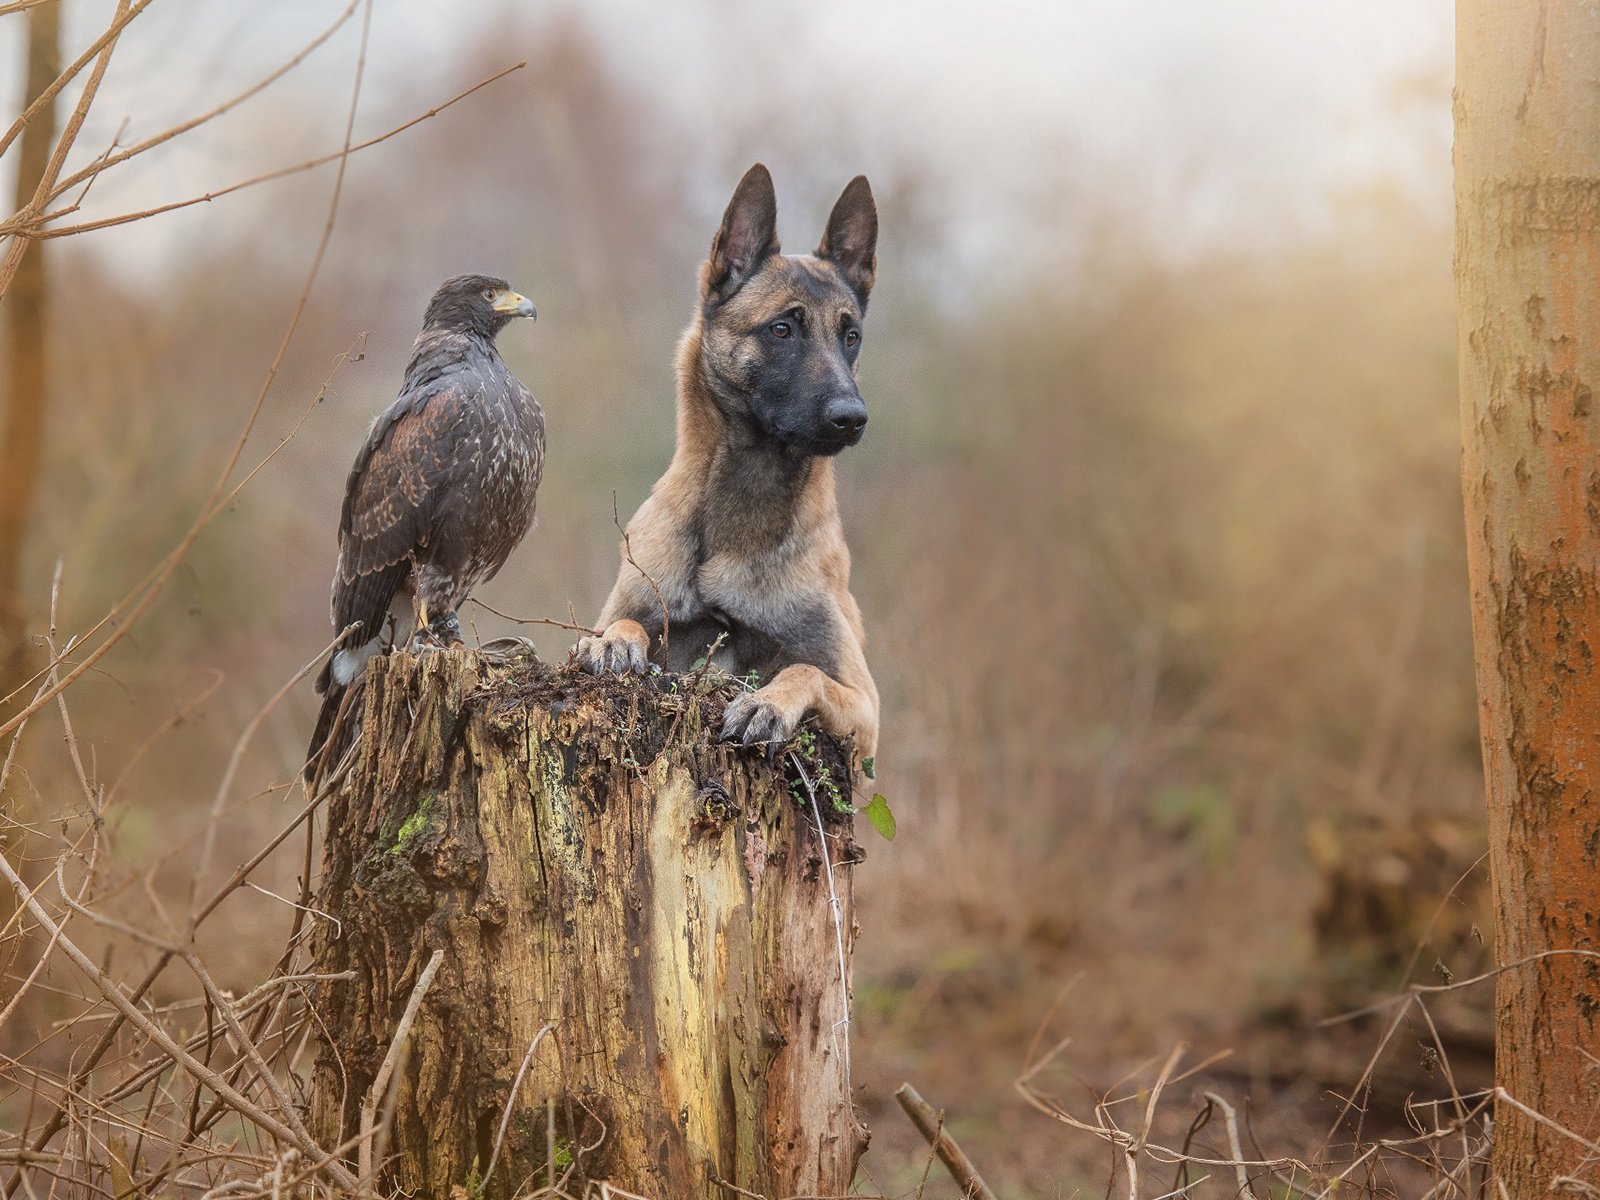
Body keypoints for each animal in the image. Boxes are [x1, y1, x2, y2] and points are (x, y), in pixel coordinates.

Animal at [572, 167, 876, 761]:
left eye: (850, 337)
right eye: (782, 329)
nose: (852, 418)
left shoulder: (866, 708)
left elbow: (805, 669)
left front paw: (766, 703)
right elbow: (627, 624)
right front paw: (615, 643)